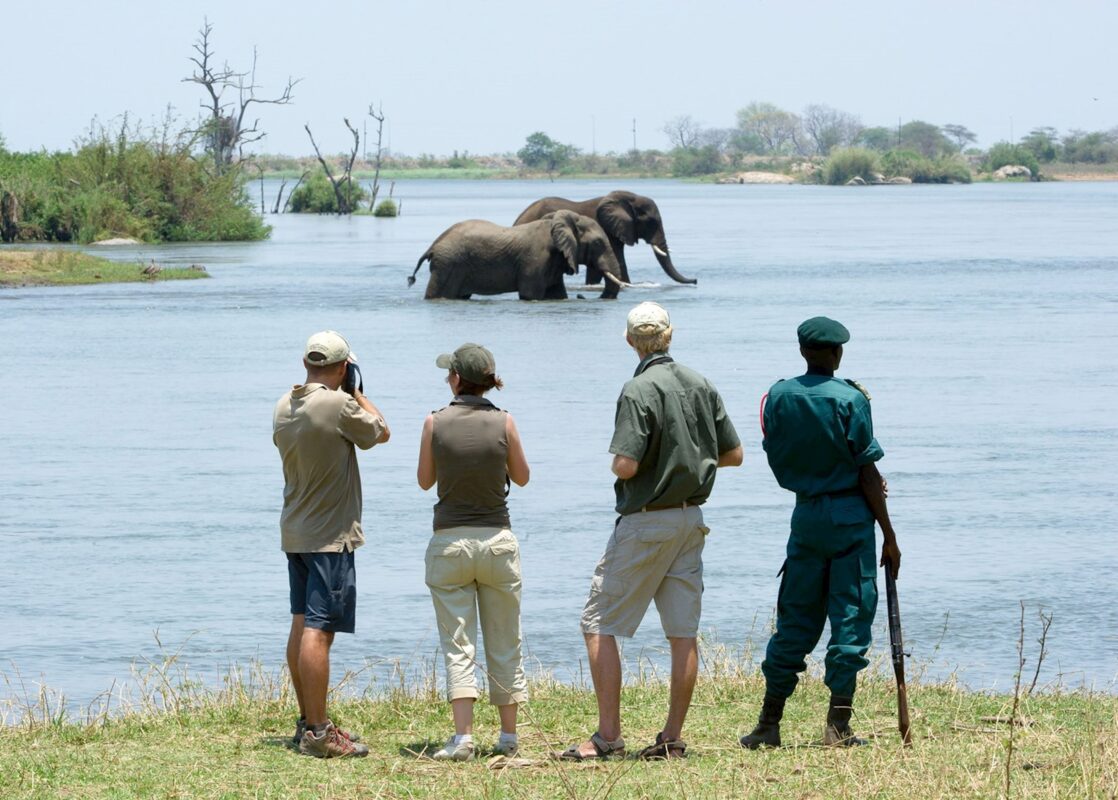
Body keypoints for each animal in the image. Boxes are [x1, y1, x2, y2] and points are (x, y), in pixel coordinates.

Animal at [408, 209, 628, 300]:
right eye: (598, 243)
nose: (582, 295)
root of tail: (434, 245)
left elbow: (557, 294)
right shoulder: (536, 259)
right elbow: (530, 295)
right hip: (448, 265)